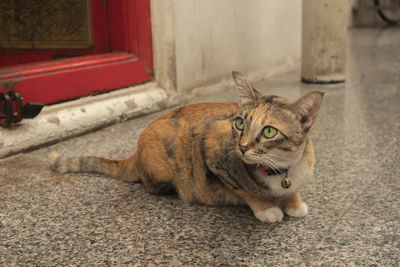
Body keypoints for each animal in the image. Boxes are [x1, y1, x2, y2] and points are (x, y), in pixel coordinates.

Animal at [48, 71, 324, 224]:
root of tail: (136, 152)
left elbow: (293, 190)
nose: (242, 147)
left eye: (268, 131)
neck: (279, 170)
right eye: (240, 123)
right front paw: (267, 207)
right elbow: (246, 192)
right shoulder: (212, 152)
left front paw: (294, 202)